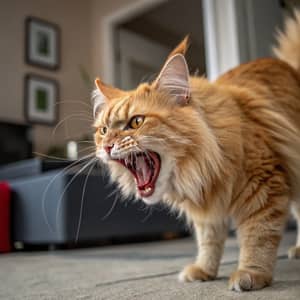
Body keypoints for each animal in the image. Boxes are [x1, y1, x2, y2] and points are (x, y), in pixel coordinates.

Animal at [92, 11, 300, 290]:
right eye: (104, 130)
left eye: (136, 122)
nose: (107, 146)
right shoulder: (206, 206)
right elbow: (209, 241)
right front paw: (204, 270)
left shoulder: (264, 187)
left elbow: (257, 237)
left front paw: (251, 274)